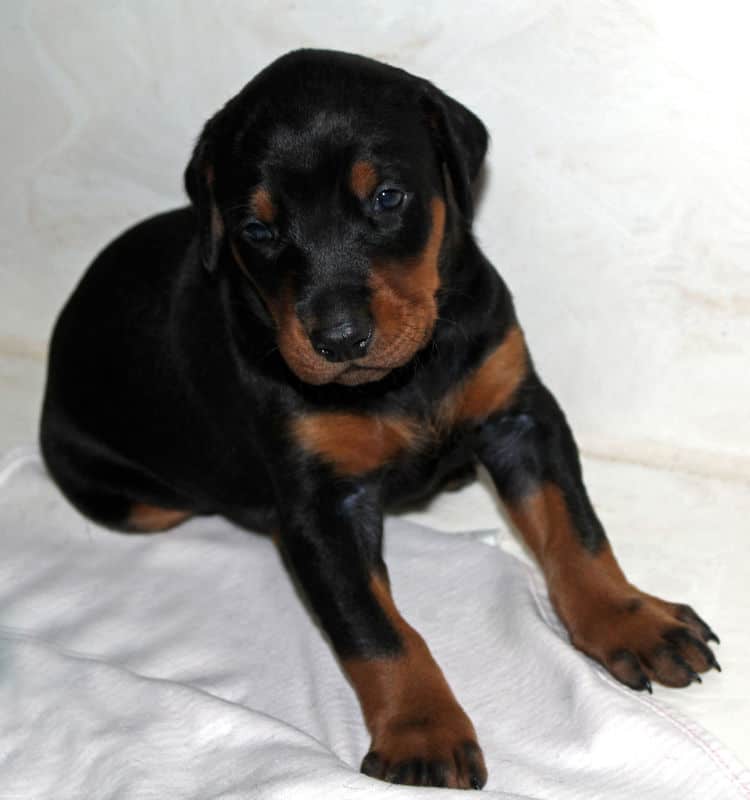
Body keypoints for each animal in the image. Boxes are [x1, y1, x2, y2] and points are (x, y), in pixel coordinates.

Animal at [41, 51, 724, 792]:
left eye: (388, 197)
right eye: (258, 231)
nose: (338, 340)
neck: (402, 378)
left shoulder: (520, 415)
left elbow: (575, 528)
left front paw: (630, 621)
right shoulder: (320, 507)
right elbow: (376, 629)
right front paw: (422, 732)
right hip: (128, 496)